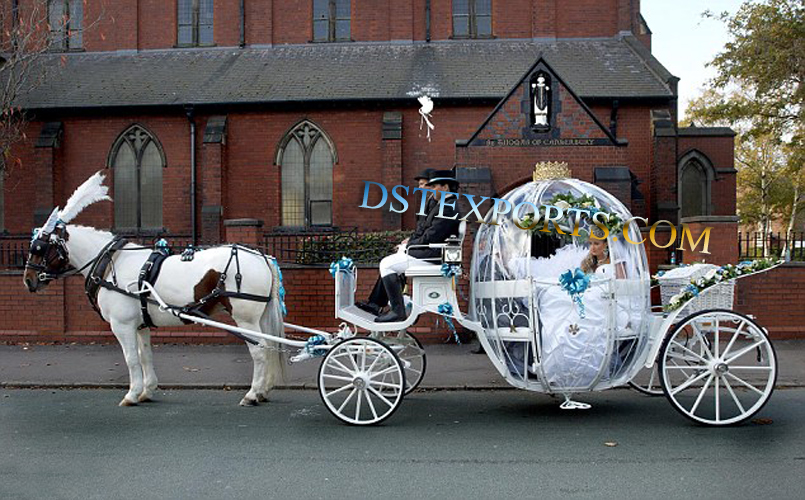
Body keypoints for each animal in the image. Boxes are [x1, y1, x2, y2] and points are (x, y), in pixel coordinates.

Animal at [23, 172, 286, 406]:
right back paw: (263, 391)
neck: (111, 263)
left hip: (245, 320)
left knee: (260, 352)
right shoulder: (139, 325)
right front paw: (146, 391)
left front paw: (131, 395)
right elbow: (145, 356)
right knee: (268, 348)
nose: (28, 280)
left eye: (38, 247)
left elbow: (131, 359)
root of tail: (262, 257)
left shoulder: (122, 325)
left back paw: (252, 394)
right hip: (258, 319)